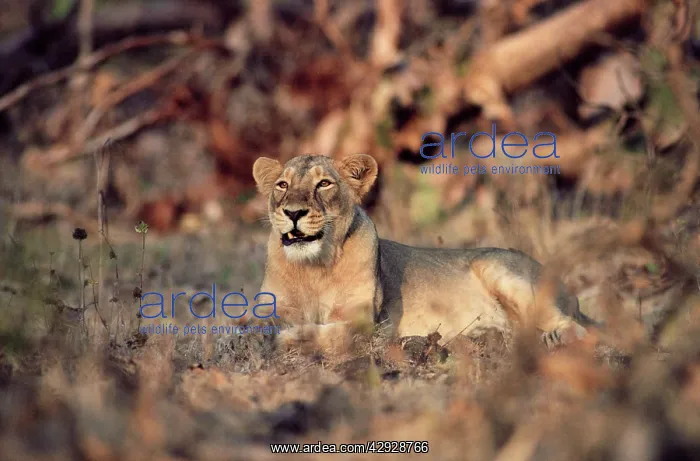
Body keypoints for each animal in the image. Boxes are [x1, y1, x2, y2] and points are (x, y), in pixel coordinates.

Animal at [252, 153, 595, 353]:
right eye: (282, 185)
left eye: (324, 184)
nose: (293, 212)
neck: (315, 267)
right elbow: (260, 323)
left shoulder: (367, 324)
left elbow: (330, 335)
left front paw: (288, 338)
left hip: (497, 267)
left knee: (579, 328)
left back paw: (554, 340)